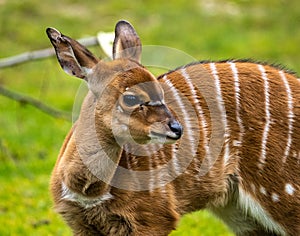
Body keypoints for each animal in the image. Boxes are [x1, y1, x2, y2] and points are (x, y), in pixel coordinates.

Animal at [45, 20, 298, 236]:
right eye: (130, 98)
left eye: (161, 91)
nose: (177, 128)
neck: (89, 191)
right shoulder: (81, 223)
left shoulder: (155, 216)